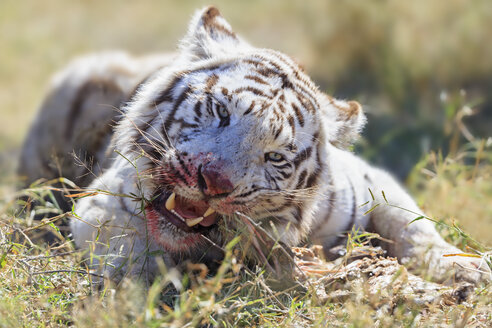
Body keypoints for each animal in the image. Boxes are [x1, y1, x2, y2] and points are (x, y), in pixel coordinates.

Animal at [18, 6, 488, 284]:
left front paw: (468, 269)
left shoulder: (372, 182)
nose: (212, 182)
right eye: (219, 112)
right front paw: (141, 284)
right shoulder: (105, 201)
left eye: (275, 156)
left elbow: (414, 227)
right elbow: (126, 243)